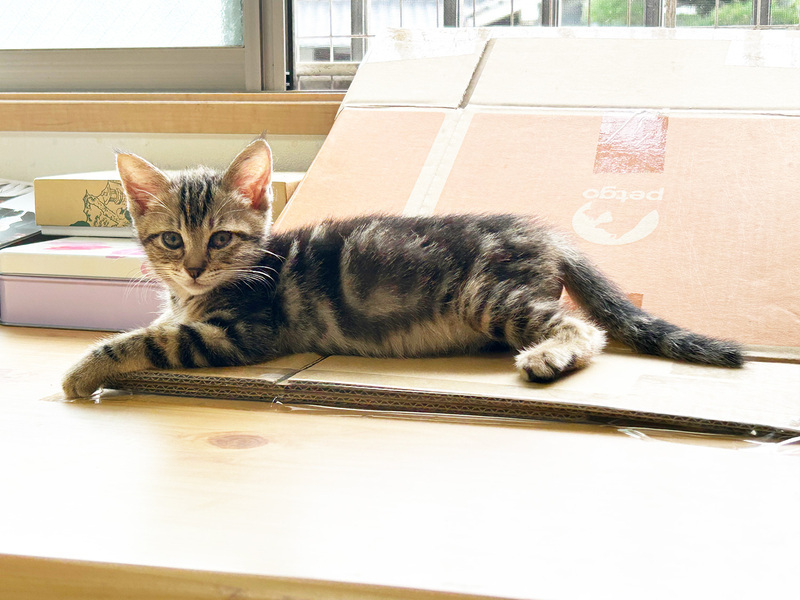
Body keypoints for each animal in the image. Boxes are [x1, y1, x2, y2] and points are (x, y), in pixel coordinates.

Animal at [61, 138, 743, 399]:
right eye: (172, 240)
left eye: (222, 238)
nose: (198, 269)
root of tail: (546, 232)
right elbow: (155, 326)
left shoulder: (240, 332)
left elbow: (148, 340)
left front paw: (80, 369)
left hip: (488, 294)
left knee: (585, 329)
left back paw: (548, 357)